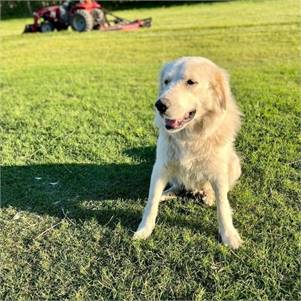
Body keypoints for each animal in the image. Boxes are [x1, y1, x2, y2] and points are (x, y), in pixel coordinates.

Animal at [133, 56, 241, 248]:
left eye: (191, 82)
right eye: (166, 81)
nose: (159, 105)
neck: (190, 137)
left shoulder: (218, 172)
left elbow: (223, 206)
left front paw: (229, 235)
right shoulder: (160, 166)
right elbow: (151, 201)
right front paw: (144, 229)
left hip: (235, 164)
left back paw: (207, 196)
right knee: (177, 186)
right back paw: (167, 193)